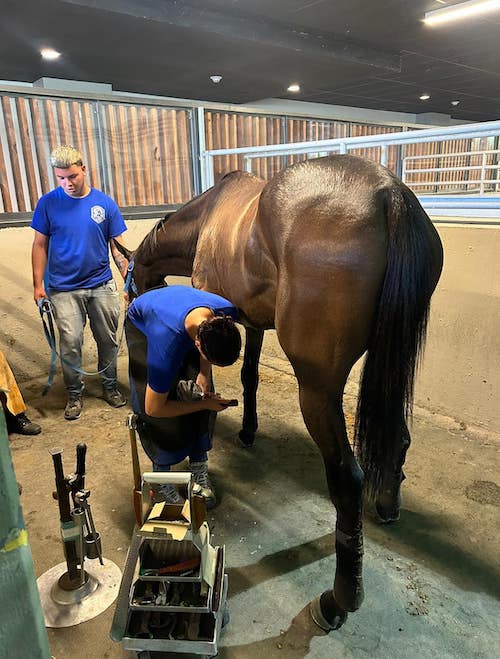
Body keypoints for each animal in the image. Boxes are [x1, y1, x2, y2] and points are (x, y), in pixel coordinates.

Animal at [118, 153, 446, 628]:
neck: (207, 217)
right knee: (397, 436)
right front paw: (248, 430)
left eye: (129, 277)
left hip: (318, 390)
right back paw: (387, 505)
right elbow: (250, 376)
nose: (131, 308)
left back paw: (338, 601)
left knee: (347, 479)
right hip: (391, 366)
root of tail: (390, 193)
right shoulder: (249, 321)